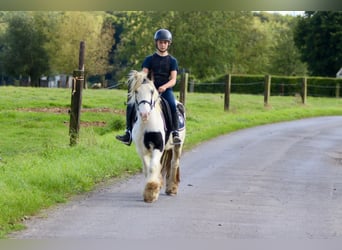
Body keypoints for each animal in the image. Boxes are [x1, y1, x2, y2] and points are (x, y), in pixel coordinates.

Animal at [127, 69, 186, 202]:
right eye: (136, 91)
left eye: (152, 91)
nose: (144, 114)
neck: (147, 124)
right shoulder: (141, 149)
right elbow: (148, 167)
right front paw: (154, 188)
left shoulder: (158, 146)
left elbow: (153, 166)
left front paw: (151, 192)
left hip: (177, 145)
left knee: (174, 163)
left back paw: (172, 189)